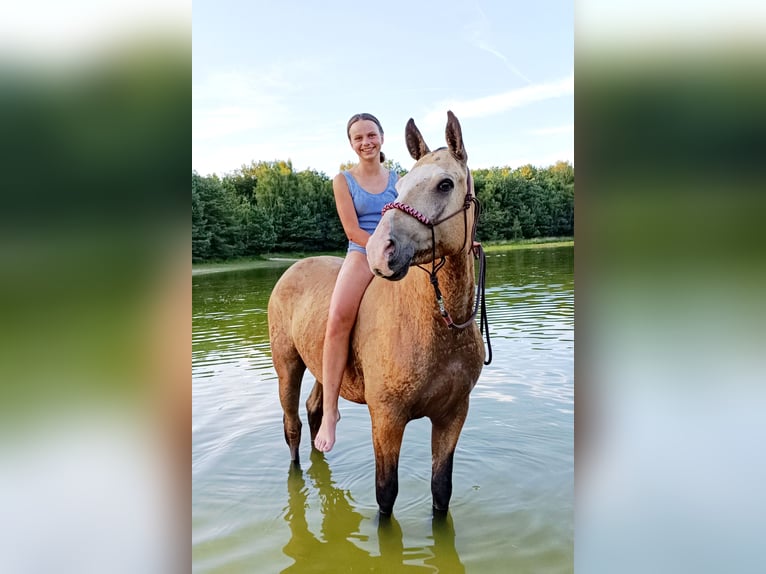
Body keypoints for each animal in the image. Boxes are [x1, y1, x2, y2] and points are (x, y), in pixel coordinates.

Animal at [268, 111, 488, 516]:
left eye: (445, 184)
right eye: (398, 190)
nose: (380, 252)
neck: (438, 327)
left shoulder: (453, 415)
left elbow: (441, 490)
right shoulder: (386, 419)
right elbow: (386, 492)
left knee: (315, 410)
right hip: (287, 365)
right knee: (292, 426)